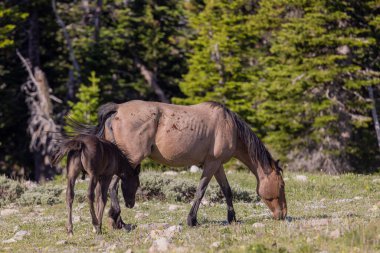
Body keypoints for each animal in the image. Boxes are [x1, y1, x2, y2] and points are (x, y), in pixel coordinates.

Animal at [72, 100, 286, 227]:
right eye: (282, 185)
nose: (283, 214)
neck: (228, 125)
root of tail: (116, 110)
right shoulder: (211, 164)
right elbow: (201, 191)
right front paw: (192, 220)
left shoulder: (217, 165)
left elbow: (227, 190)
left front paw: (232, 219)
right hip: (129, 160)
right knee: (112, 188)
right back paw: (118, 221)